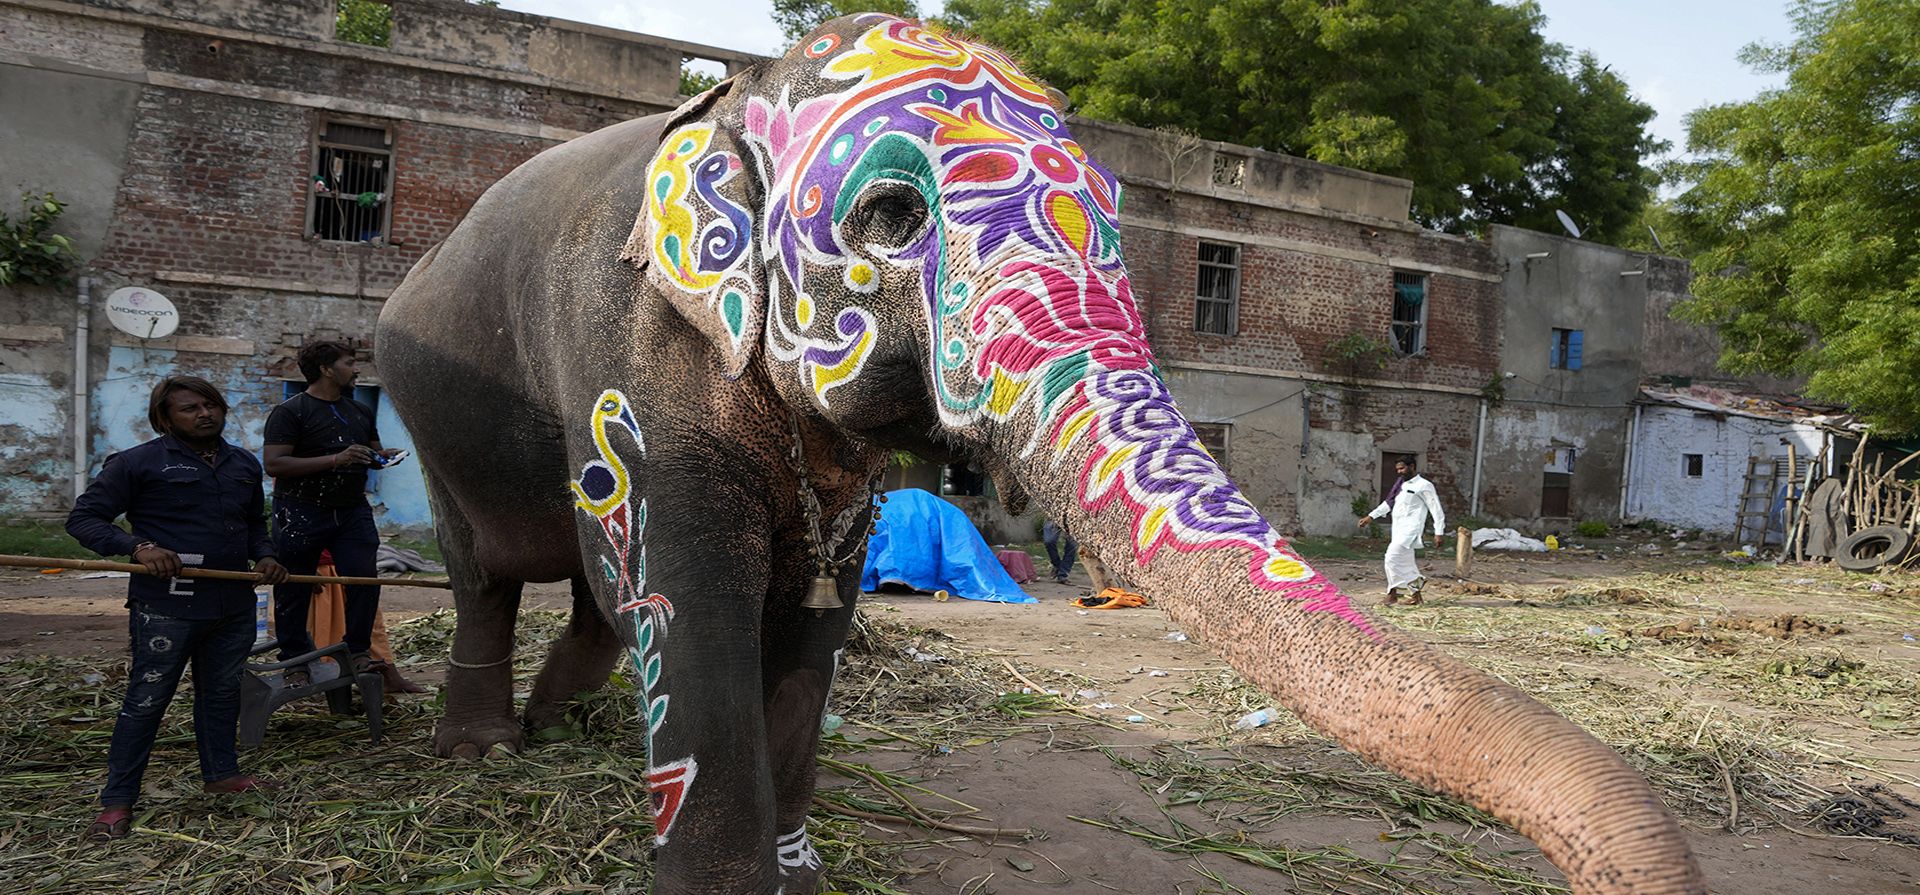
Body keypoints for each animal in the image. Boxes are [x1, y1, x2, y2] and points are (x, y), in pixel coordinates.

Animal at [375, 14, 1704, 894]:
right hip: (423, 409)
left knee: (594, 596)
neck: (738, 102)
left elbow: (810, 624)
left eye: (1122, 217)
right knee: (496, 575)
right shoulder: (633, 367)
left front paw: (800, 872)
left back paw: (561, 719)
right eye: (889, 218)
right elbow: (688, 605)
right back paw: (486, 746)